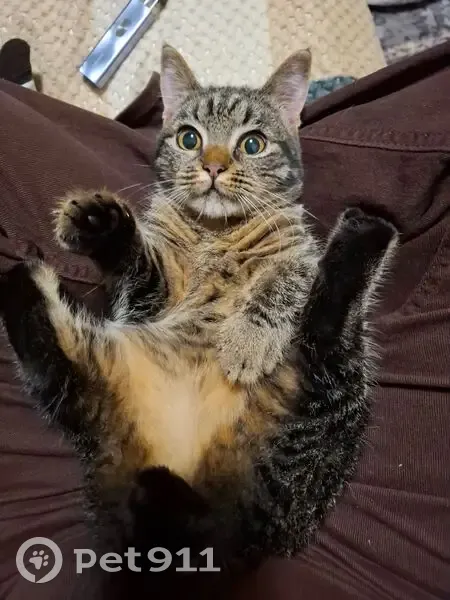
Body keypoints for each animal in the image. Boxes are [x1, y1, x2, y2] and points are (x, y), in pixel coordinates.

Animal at [0, 45, 397, 581]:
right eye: (190, 138)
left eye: (252, 144)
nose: (212, 166)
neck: (215, 232)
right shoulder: (143, 302)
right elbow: (138, 268)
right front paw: (104, 227)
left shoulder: (297, 255)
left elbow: (286, 279)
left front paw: (247, 340)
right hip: (94, 379)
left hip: (323, 388)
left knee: (327, 319)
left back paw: (367, 228)